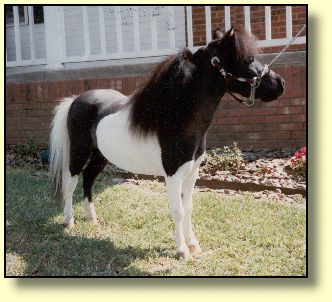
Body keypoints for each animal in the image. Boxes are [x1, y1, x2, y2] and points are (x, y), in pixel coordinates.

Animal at [50, 27, 284, 260]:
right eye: (247, 59)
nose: (280, 84)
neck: (175, 117)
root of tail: (75, 100)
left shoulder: (192, 173)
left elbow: (188, 208)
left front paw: (193, 244)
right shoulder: (173, 174)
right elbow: (178, 211)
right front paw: (181, 250)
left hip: (101, 155)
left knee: (88, 179)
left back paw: (92, 218)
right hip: (79, 152)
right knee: (71, 183)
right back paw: (69, 220)